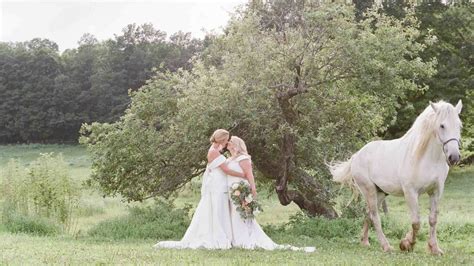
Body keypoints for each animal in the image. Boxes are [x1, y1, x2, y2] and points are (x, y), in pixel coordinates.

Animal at [332, 100, 462, 254]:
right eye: (442, 125)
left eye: (459, 125)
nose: (454, 157)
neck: (428, 159)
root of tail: (357, 155)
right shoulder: (410, 193)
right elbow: (416, 222)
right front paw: (407, 244)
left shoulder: (436, 191)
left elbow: (432, 220)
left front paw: (435, 249)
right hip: (369, 190)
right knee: (375, 216)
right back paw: (386, 246)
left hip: (381, 193)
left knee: (368, 213)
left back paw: (364, 242)